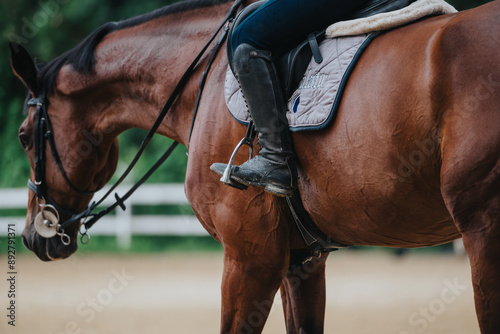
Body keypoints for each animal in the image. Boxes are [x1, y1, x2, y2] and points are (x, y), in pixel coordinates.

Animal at [8, 0, 500, 332]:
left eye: (23, 135)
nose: (33, 234)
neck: (199, 82)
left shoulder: (250, 256)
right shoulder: (300, 260)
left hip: (483, 230)